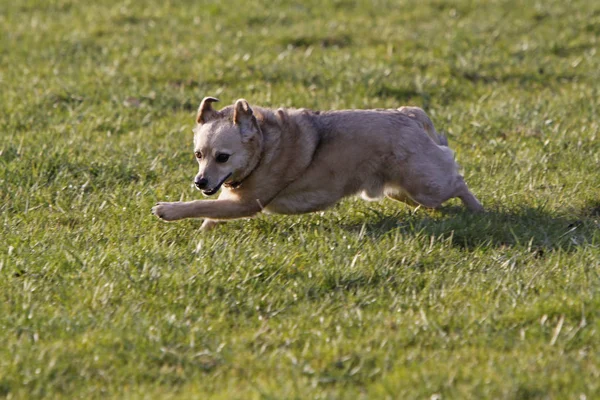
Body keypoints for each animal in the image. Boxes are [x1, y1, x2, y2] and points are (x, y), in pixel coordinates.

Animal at [152, 96, 486, 231]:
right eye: (198, 155)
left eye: (222, 157)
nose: (200, 182)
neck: (264, 148)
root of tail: (409, 115)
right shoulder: (230, 198)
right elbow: (211, 211)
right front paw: (203, 235)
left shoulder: (246, 204)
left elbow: (201, 205)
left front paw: (168, 210)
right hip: (399, 190)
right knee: (433, 199)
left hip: (426, 184)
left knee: (458, 182)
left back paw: (478, 210)